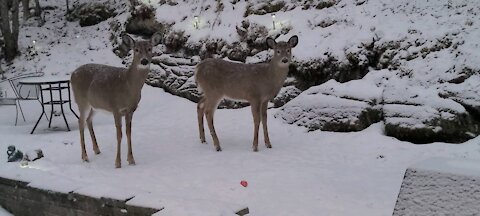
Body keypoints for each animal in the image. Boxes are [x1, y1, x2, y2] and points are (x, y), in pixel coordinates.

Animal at [70, 33, 162, 169]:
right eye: (136, 50)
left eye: (149, 49)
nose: (144, 61)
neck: (128, 86)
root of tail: (72, 74)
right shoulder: (116, 108)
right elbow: (119, 135)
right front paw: (118, 163)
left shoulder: (130, 110)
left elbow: (129, 133)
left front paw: (131, 160)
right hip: (81, 100)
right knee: (80, 122)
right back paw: (85, 157)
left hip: (95, 104)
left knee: (88, 120)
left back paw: (97, 149)